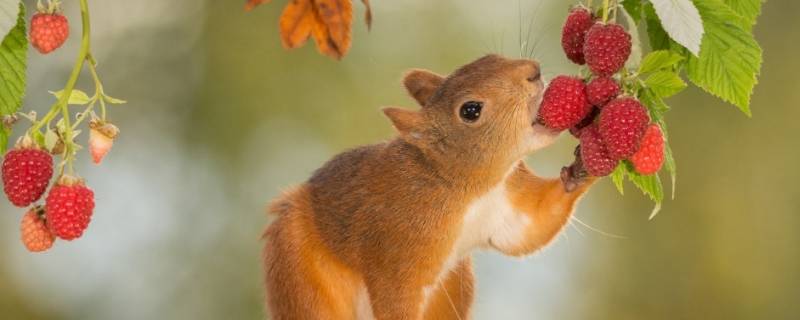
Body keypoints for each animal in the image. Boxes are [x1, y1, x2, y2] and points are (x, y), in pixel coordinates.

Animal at [260, 53, 592, 318]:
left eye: (490, 57)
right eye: (470, 110)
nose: (533, 70)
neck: (468, 189)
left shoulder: (506, 204)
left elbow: (532, 227)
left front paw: (585, 167)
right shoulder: (396, 252)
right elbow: (396, 301)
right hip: (301, 276)